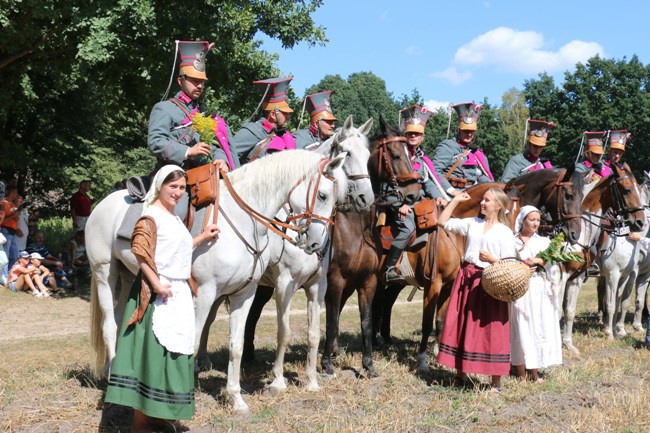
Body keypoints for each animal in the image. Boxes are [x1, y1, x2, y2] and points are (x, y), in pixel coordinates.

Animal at [89, 150, 350, 414]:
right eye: (322, 194)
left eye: (336, 201)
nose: (316, 243)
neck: (241, 219)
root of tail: (102, 204)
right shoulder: (207, 293)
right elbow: (192, 342)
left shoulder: (245, 294)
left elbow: (237, 345)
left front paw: (235, 398)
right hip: (105, 272)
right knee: (109, 325)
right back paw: (111, 378)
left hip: (128, 276)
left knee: (121, 320)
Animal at [227, 116, 372, 394]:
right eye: (347, 153)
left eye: (369, 155)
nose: (366, 198)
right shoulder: (285, 284)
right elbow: (284, 332)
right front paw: (278, 379)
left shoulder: (318, 285)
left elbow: (314, 333)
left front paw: (312, 380)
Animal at [318, 117, 420, 374]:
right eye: (395, 154)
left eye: (410, 152)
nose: (414, 194)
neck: (356, 226)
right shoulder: (336, 280)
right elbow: (332, 321)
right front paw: (326, 364)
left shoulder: (368, 281)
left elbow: (365, 321)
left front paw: (368, 365)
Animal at [370, 165, 588, 372]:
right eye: (568, 195)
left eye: (581, 197)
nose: (575, 234)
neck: (452, 234)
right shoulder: (434, 284)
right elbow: (426, 323)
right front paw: (423, 360)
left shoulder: (447, 285)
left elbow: (440, 320)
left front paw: (439, 355)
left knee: (386, 301)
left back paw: (384, 339)